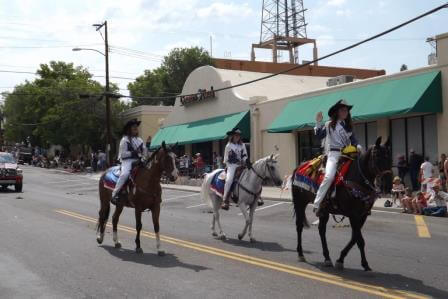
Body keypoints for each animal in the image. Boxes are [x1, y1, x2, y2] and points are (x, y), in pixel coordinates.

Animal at [292, 138, 390, 272]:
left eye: (388, 155)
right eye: (377, 155)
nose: (389, 179)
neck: (357, 178)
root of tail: (298, 167)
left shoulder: (362, 216)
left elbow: (354, 238)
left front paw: (340, 259)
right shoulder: (354, 216)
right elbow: (360, 240)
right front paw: (364, 263)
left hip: (324, 211)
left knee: (321, 230)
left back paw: (327, 258)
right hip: (300, 203)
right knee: (299, 226)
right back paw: (301, 254)